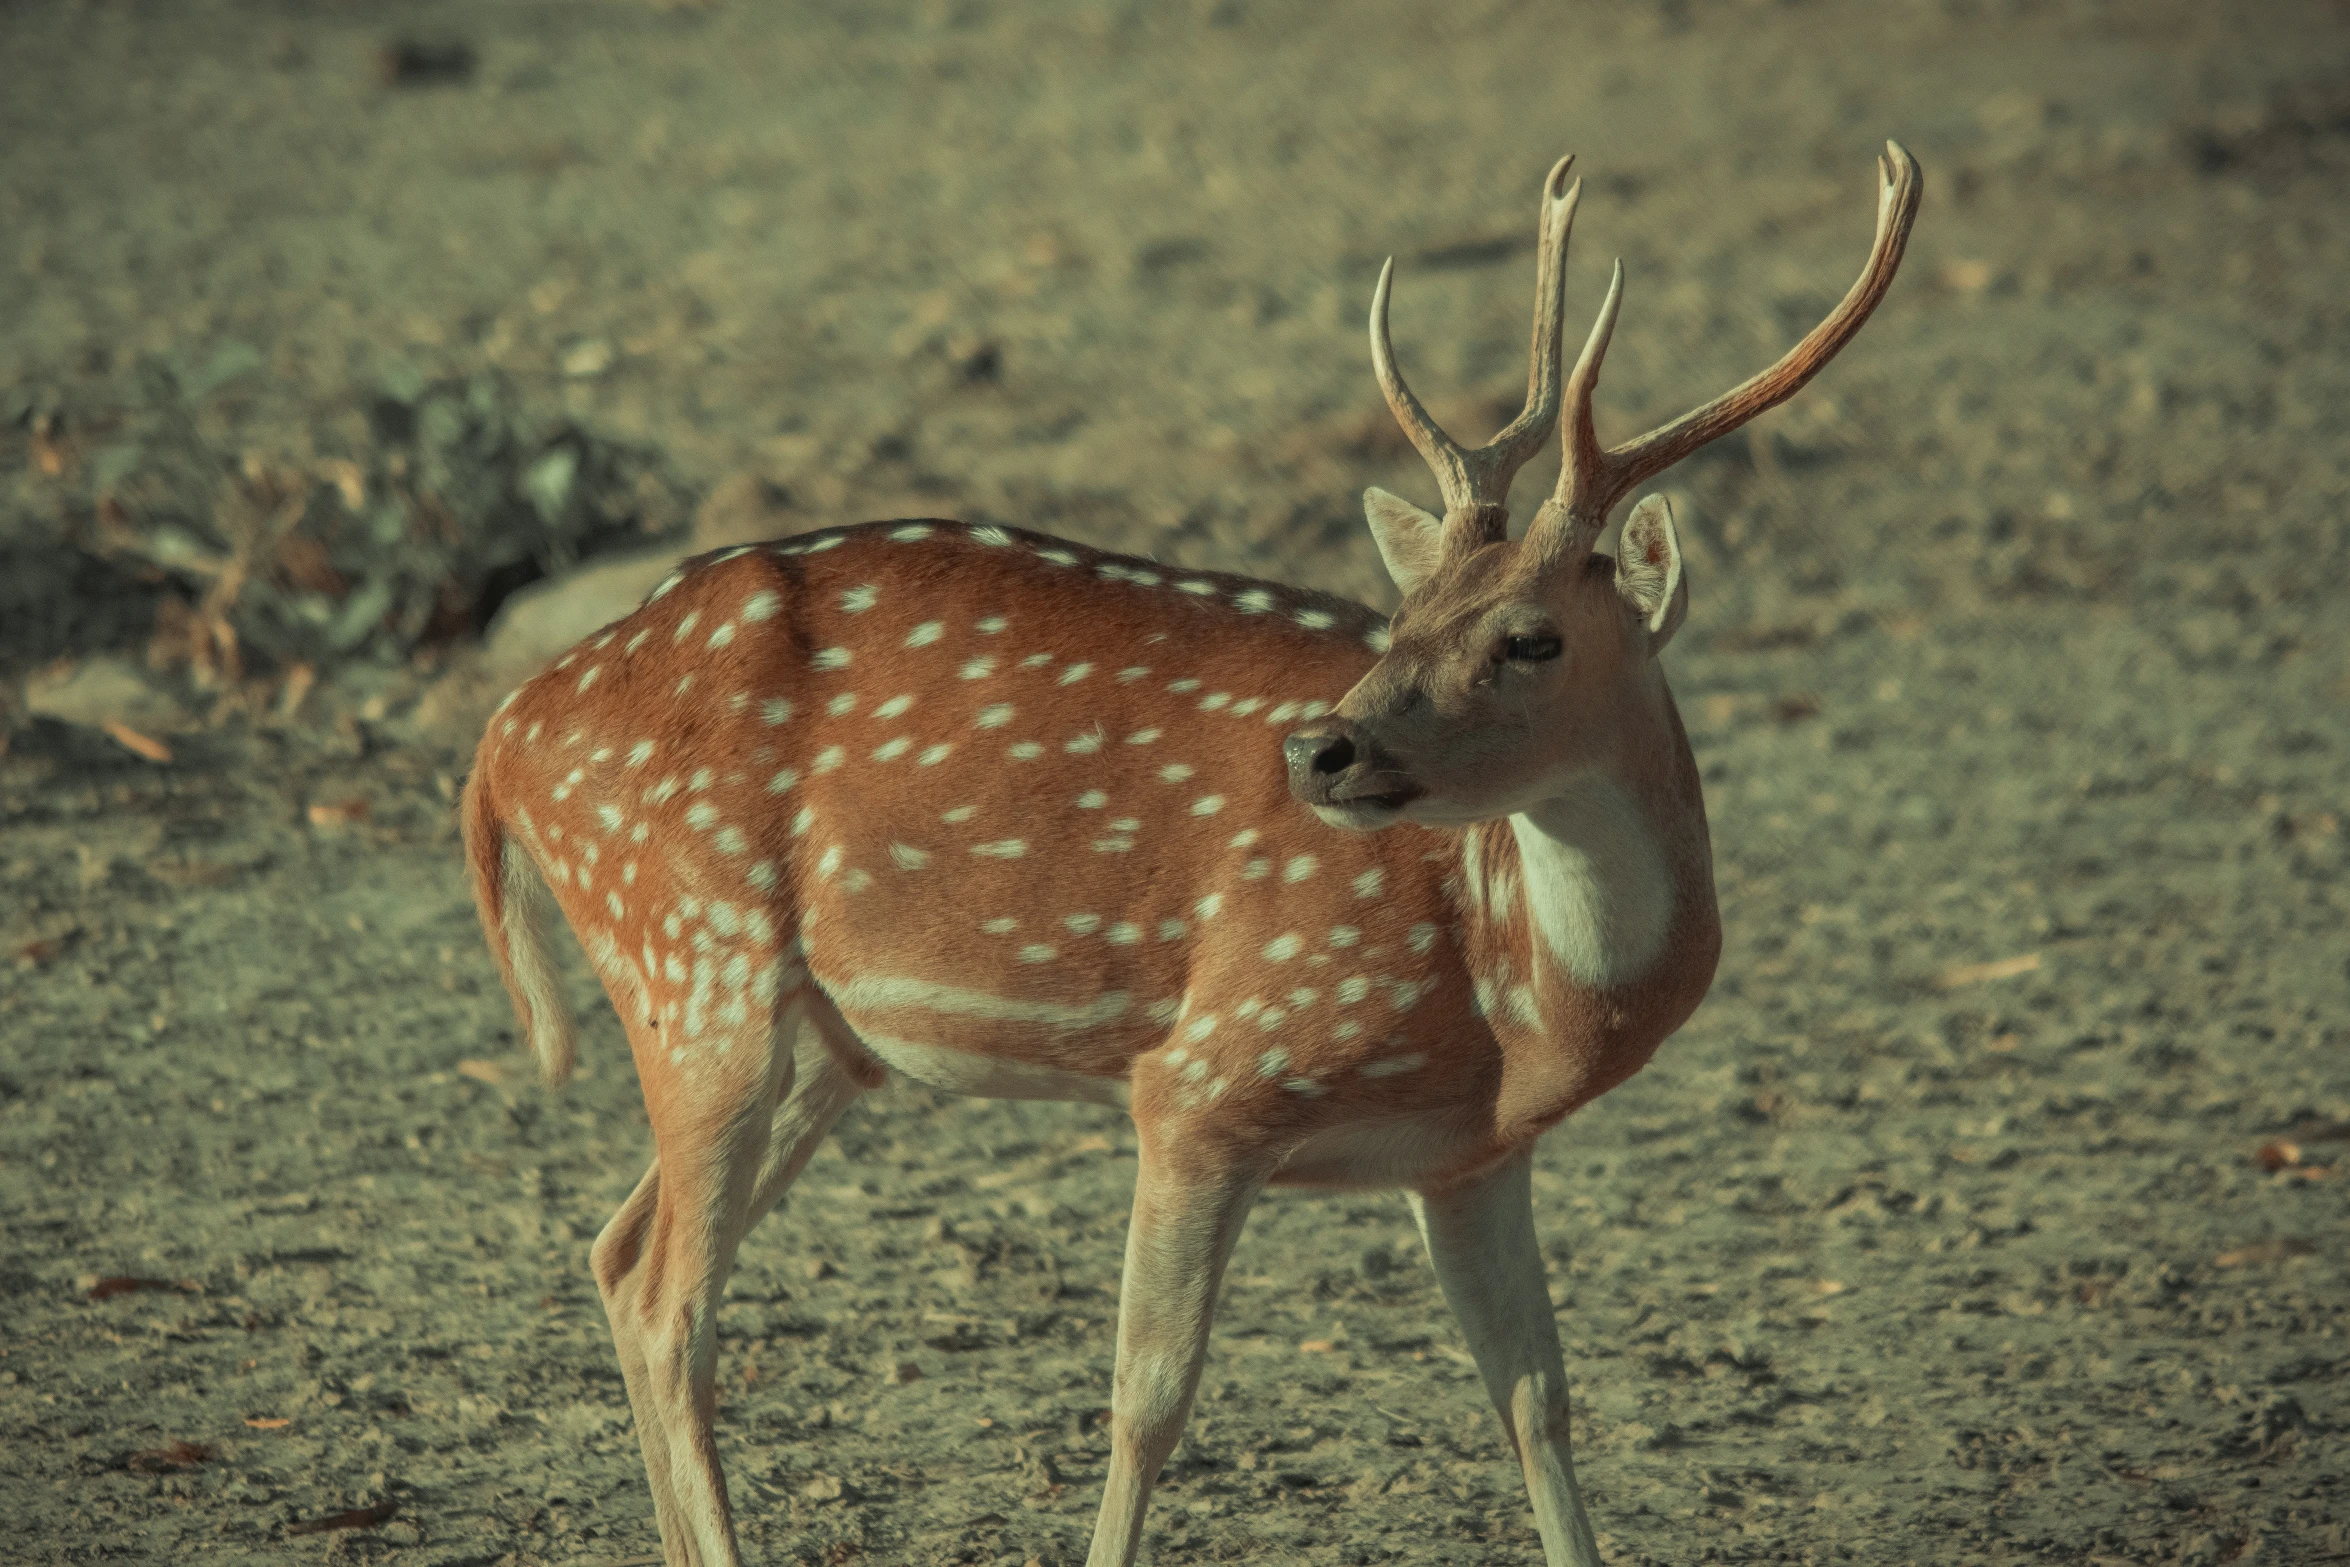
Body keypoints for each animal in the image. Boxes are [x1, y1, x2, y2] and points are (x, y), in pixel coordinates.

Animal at [462, 140, 1926, 1559]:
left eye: (1531, 635)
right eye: (1403, 610)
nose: (1319, 749)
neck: (1515, 984)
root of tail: (504, 736)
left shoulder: (1469, 1152)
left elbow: (1536, 1400)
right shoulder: (1207, 1071)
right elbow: (1147, 1398)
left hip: (820, 1039)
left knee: (617, 1253)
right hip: (694, 959)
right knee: (671, 1295)